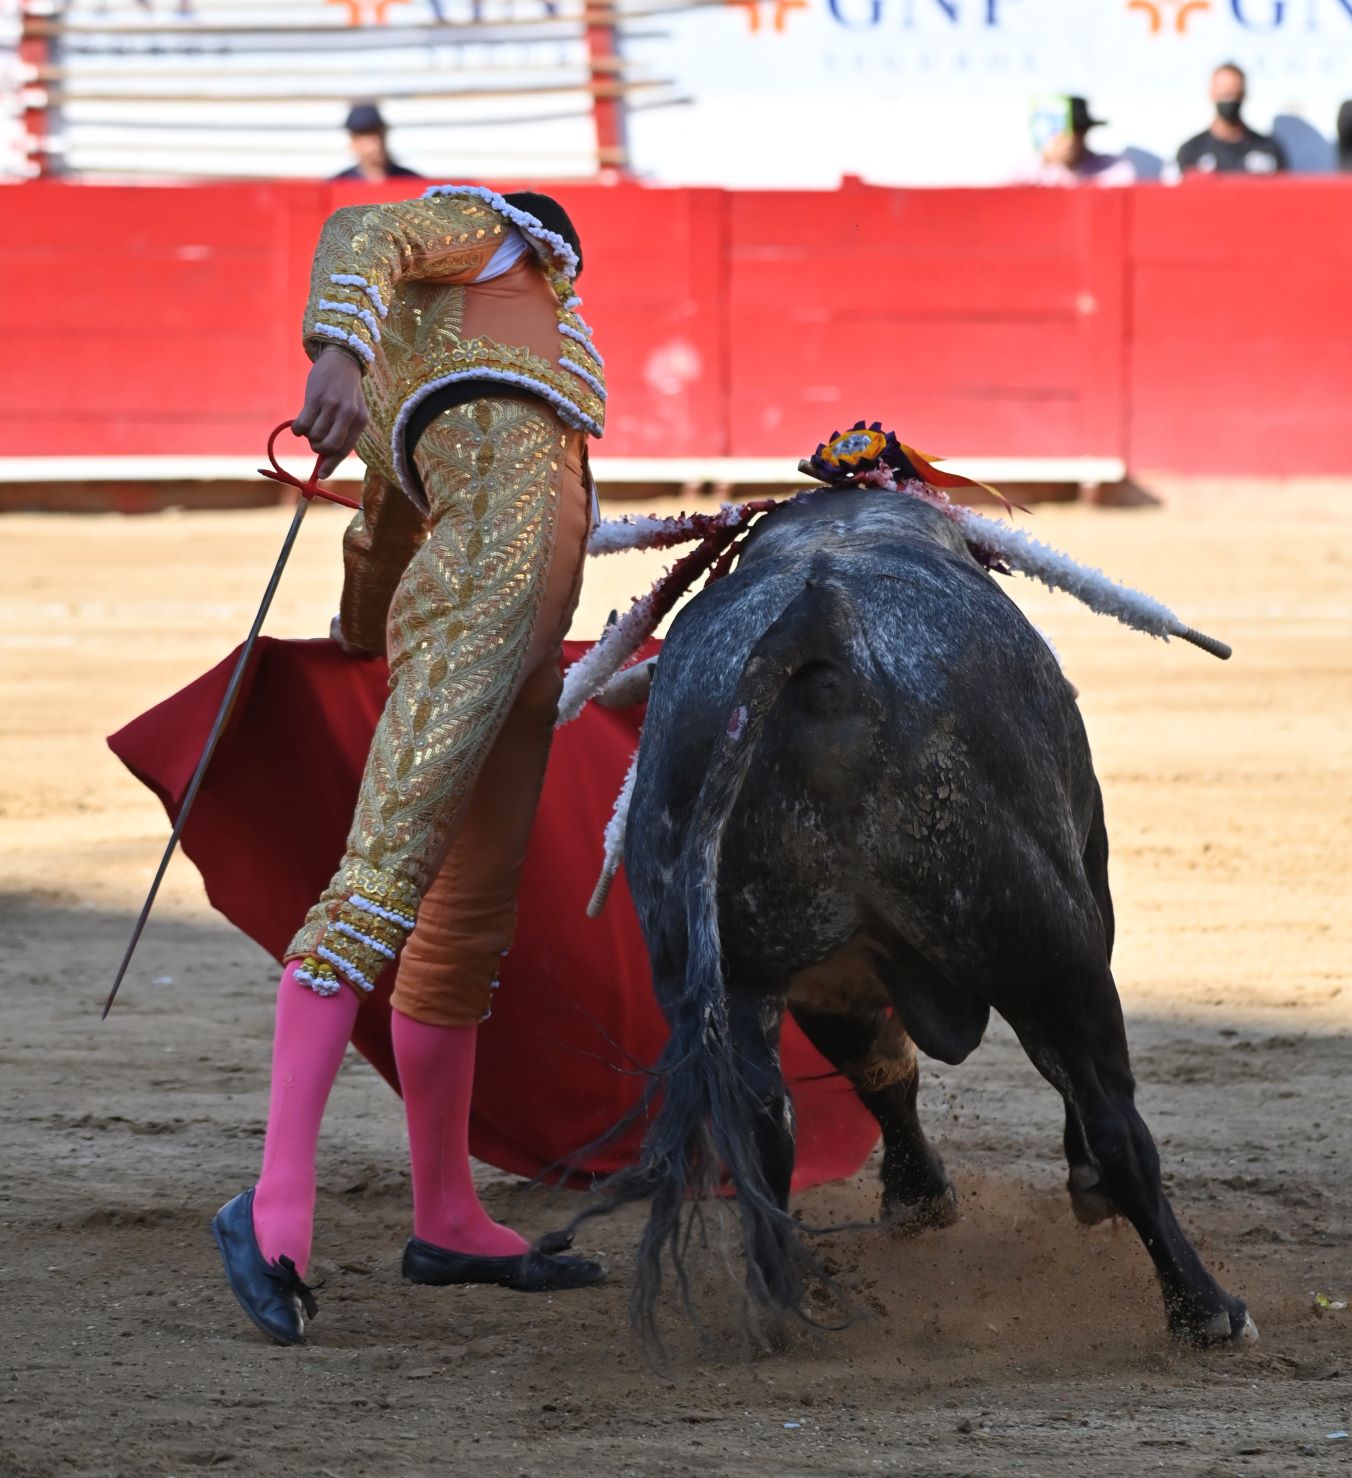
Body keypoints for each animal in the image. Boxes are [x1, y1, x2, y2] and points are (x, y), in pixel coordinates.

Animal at [575, 485, 1256, 1350]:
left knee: (763, 1127)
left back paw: (783, 1307)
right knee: (1114, 1118)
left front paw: (917, 1197)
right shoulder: (1087, 882)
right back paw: (1206, 1308)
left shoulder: (826, 981)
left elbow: (880, 1071)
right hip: (1048, 947)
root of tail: (818, 622)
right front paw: (1078, 1189)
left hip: (730, 970)